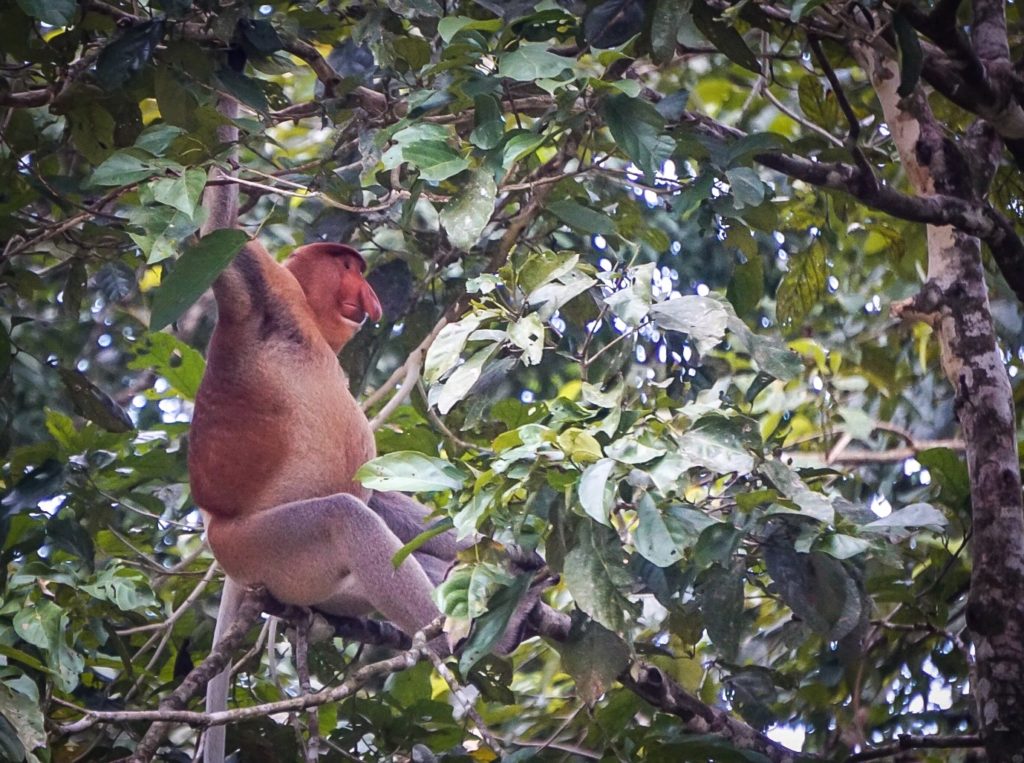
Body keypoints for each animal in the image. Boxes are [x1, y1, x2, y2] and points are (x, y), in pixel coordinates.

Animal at [191, 92, 456, 757]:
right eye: (349, 267)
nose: (372, 295)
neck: (308, 326)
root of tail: (220, 539)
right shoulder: (262, 292)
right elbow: (218, 230)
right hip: (268, 553)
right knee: (345, 515)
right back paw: (447, 635)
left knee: (377, 507)